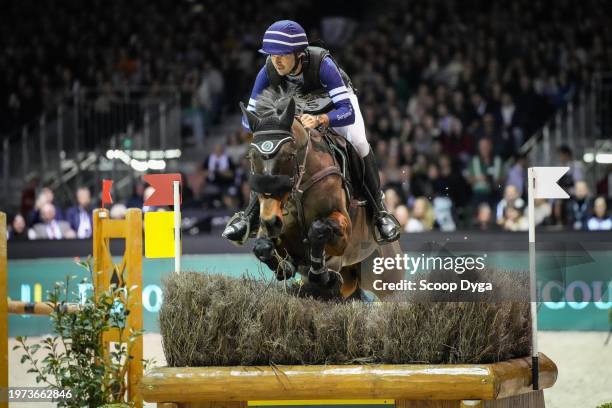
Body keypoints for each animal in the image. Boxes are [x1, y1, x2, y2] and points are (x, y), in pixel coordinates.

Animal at [241, 88, 404, 300]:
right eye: (251, 158)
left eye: (289, 155)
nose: (271, 222)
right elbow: (262, 246)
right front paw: (286, 267)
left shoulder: (343, 231)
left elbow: (318, 229)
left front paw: (325, 275)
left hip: (386, 278)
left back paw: (385, 224)